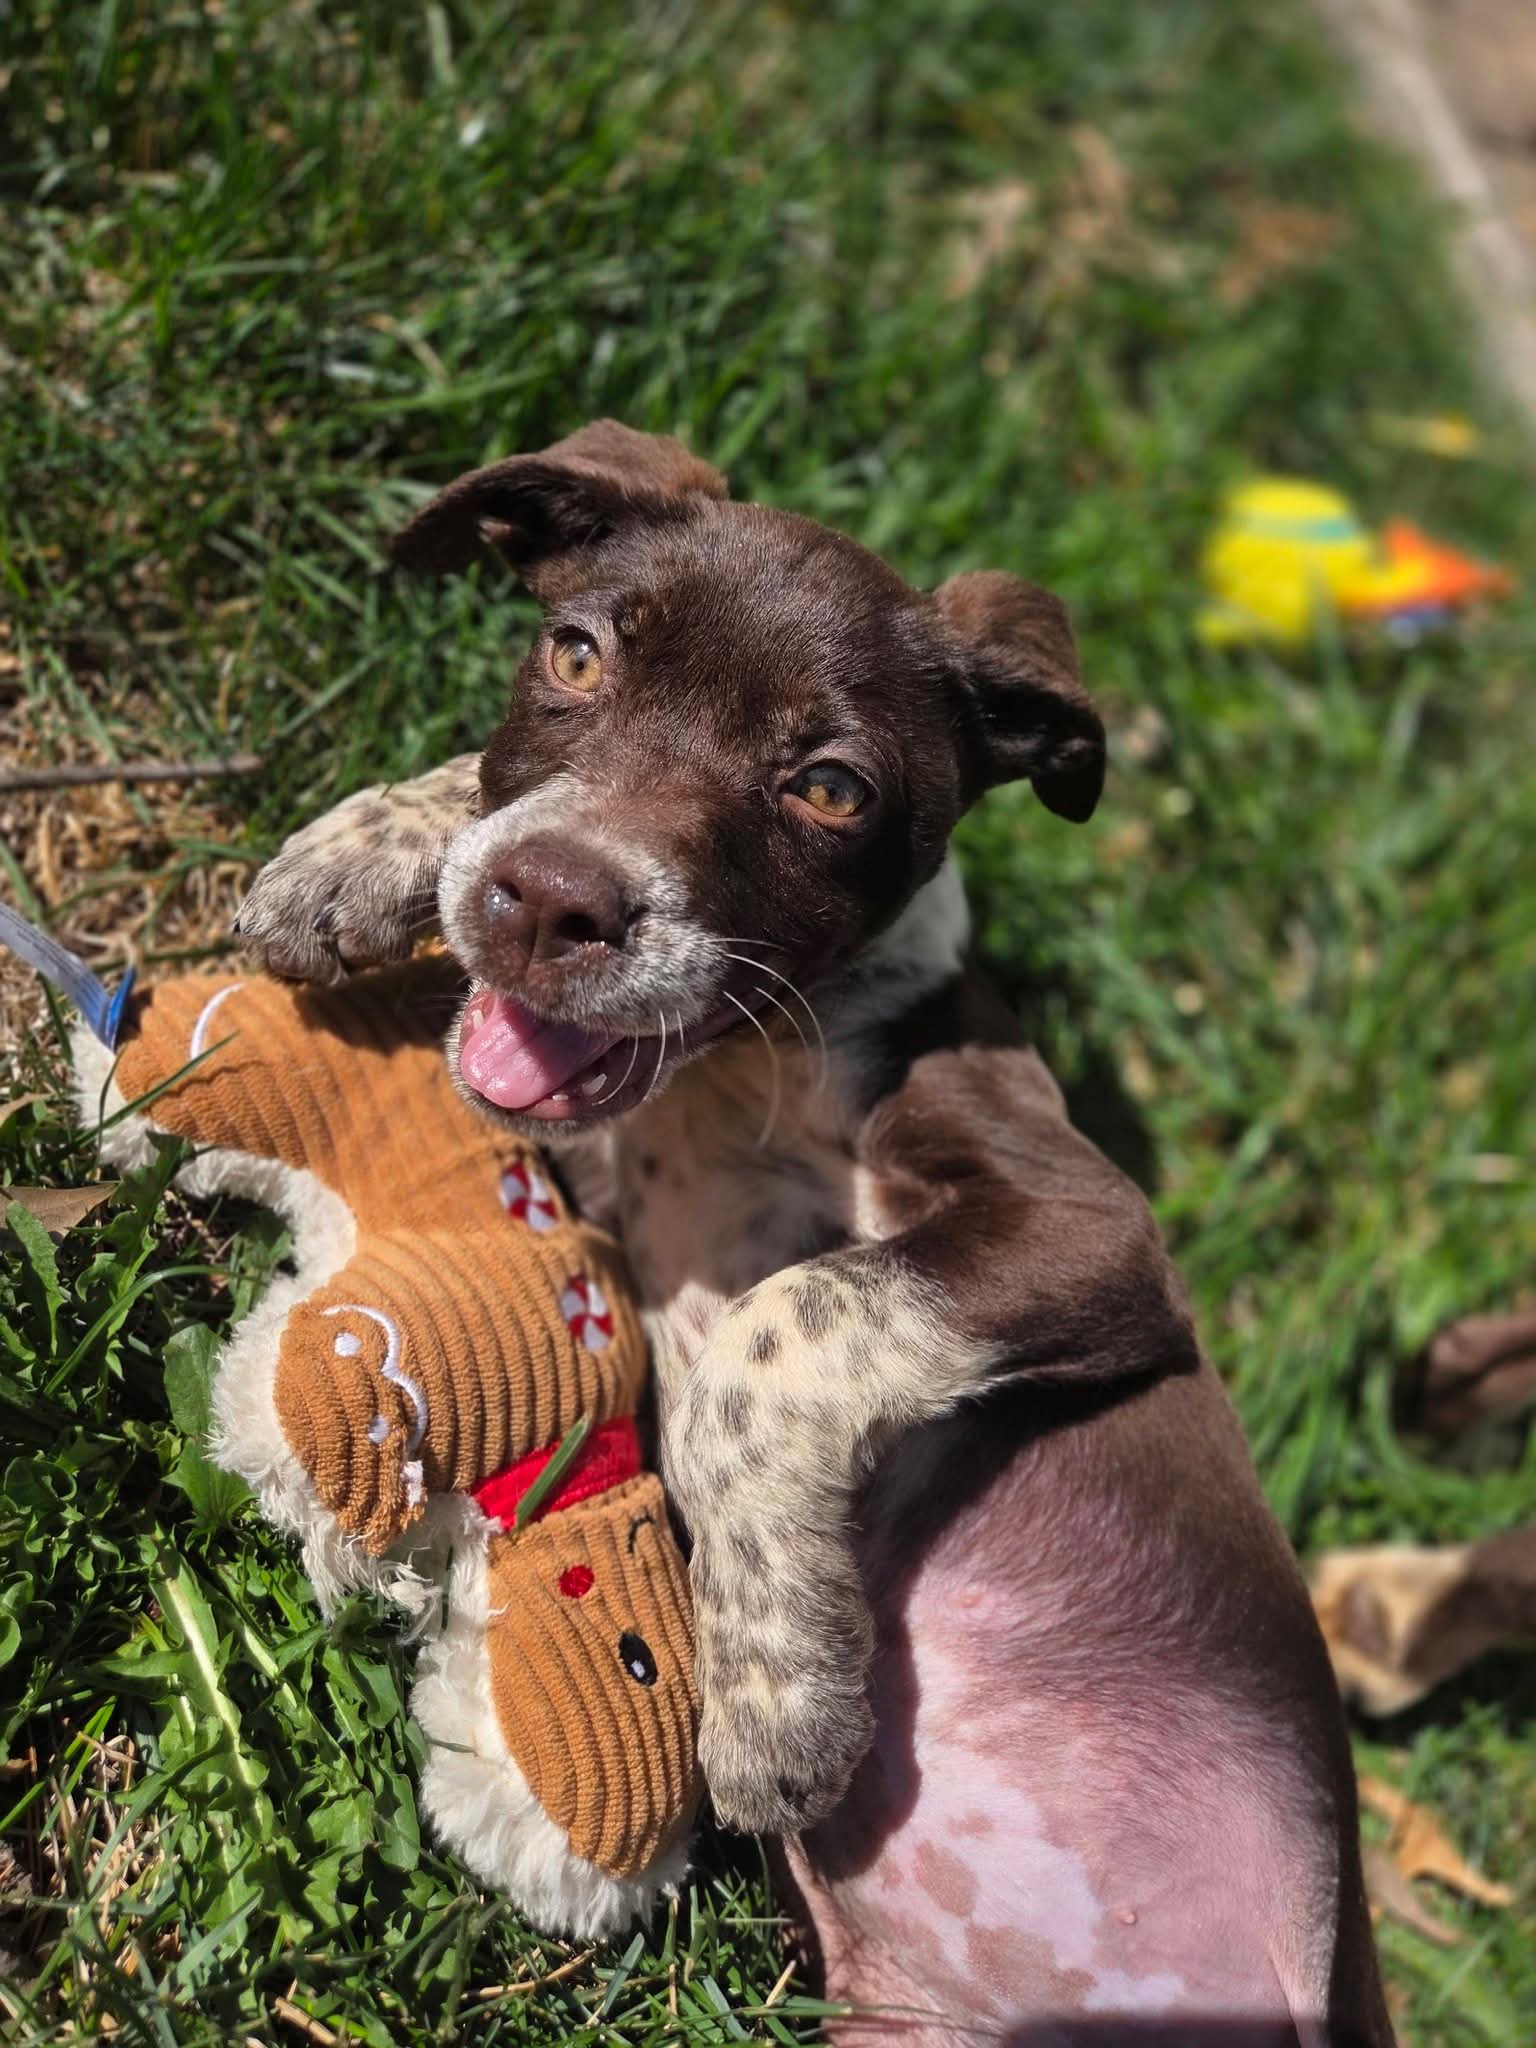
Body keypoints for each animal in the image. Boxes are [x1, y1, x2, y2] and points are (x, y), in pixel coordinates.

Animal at [237, 422, 1391, 2045]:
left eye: (831, 789)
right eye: (575, 655)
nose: (547, 904)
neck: (733, 1064)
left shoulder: (1093, 1231)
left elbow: (773, 1328)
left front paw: (774, 1683)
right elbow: (490, 790)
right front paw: (364, 846)